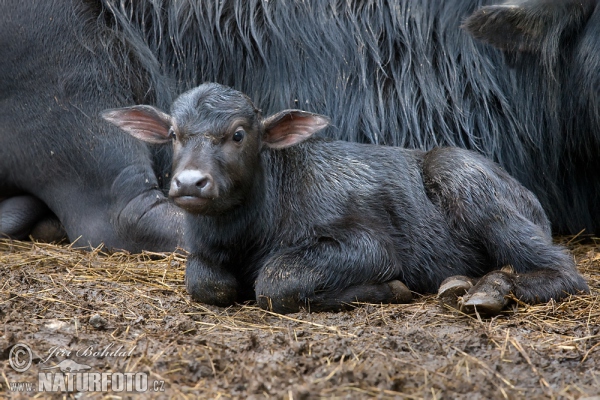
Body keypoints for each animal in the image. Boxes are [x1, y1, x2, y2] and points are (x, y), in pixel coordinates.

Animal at [102, 83, 584, 314]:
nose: (190, 183)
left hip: (469, 187)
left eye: (239, 133)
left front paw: (391, 289)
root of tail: (526, 195)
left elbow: (276, 281)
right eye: (174, 134)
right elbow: (206, 283)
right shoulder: (204, 257)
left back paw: (489, 290)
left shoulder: (369, 246)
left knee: (565, 270)